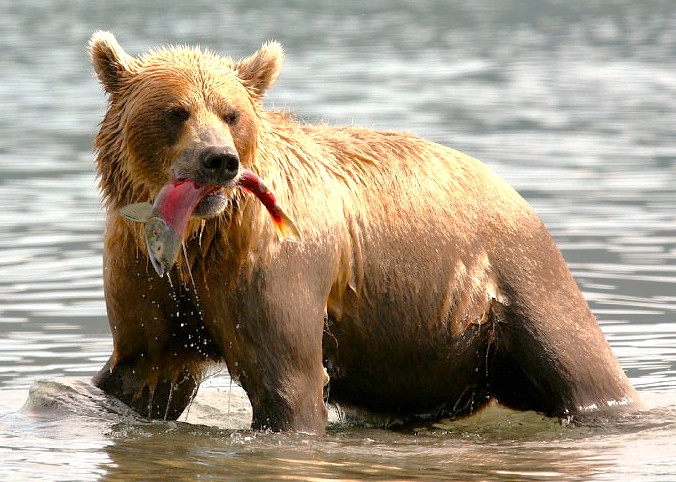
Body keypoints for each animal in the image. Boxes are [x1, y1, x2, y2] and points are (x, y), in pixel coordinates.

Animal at [89, 31, 641, 434]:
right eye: (175, 112)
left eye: (232, 113)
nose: (218, 160)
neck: (202, 238)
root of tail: (513, 190)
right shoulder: (147, 273)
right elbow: (143, 370)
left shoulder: (272, 265)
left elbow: (286, 380)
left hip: (521, 278)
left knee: (581, 367)